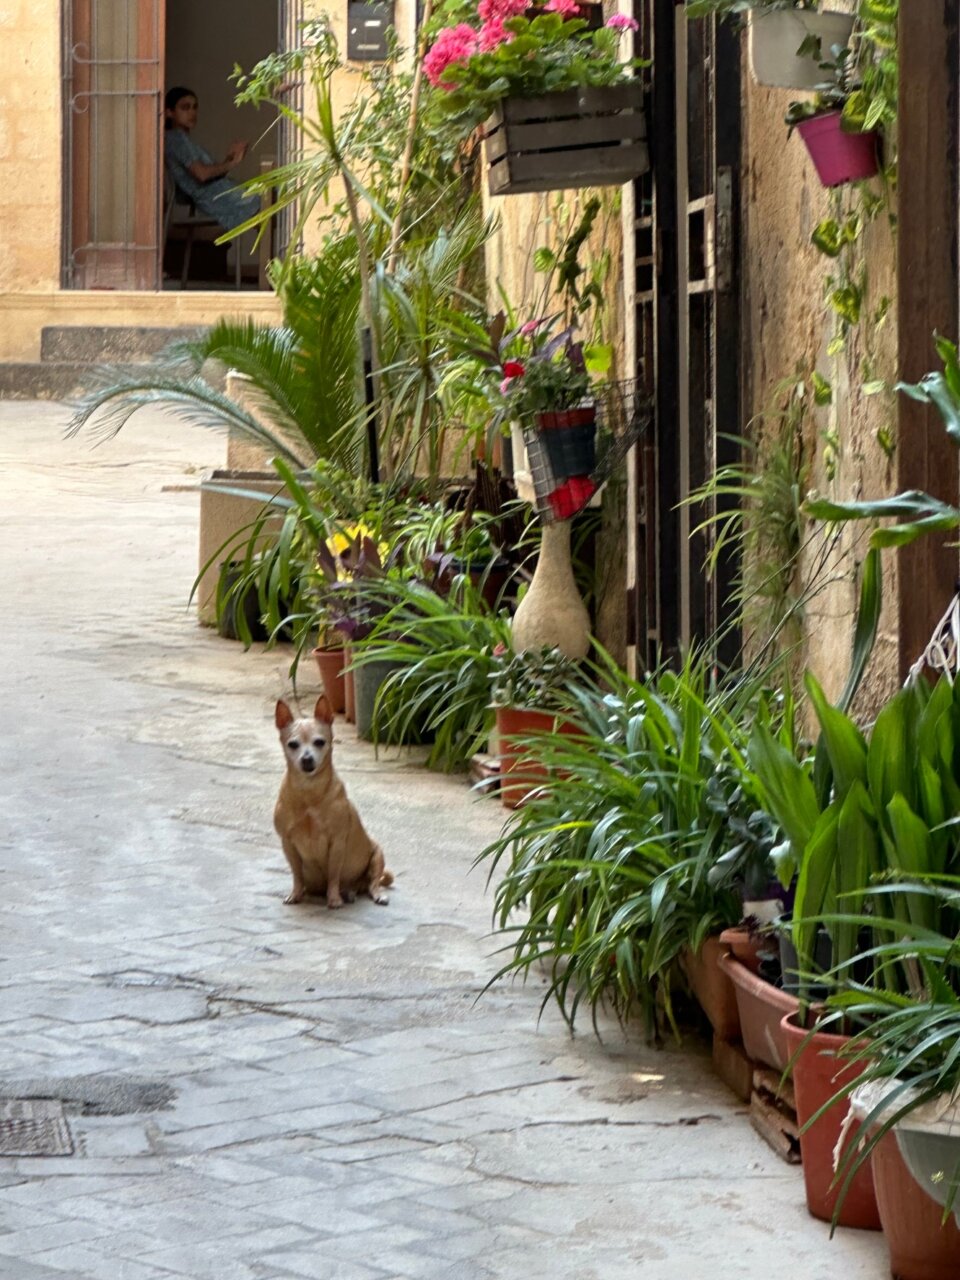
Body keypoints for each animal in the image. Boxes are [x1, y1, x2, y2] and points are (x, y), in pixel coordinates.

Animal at [272, 696, 391, 906]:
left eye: (319, 742)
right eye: (293, 744)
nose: (307, 758)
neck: (309, 791)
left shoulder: (336, 843)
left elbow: (334, 875)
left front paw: (334, 899)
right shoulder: (288, 843)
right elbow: (297, 874)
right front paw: (295, 894)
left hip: (377, 856)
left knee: (373, 883)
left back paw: (370, 894)